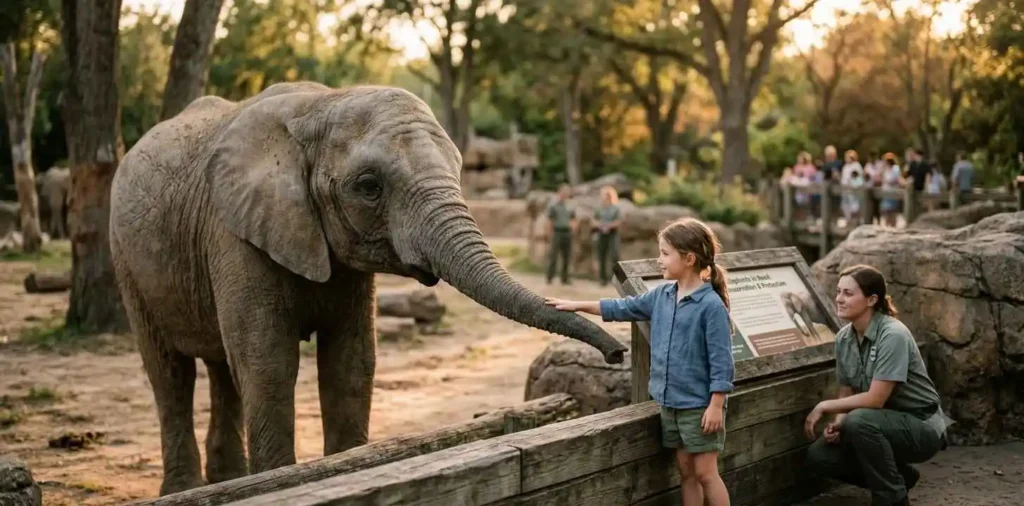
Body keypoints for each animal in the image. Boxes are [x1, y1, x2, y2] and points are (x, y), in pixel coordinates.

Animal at [109, 82, 626, 496]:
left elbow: (352, 364)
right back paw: (188, 487)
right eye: (369, 186)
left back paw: (227, 481)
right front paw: (279, 483)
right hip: (126, 258)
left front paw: (347, 470)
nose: (616, 354)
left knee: (220, 368)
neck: (320, 104)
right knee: (171, 374)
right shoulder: (234, 235)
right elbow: (268, 363)